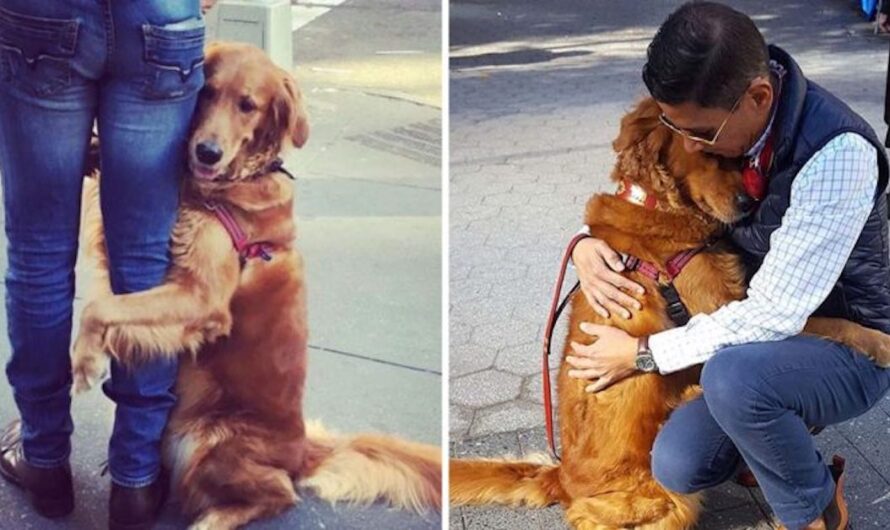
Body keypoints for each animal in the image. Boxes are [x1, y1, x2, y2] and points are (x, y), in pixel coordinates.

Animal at [71, 42, 438, 528]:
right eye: (206, 92)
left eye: (248, 106)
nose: (207, 152)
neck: (234, 182)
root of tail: (302, 453)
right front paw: (92, 148)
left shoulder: (203, 298)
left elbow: (100, 308)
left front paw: (84, 360)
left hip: (205, 440)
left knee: (279, 493)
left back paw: (210, 520)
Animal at [450, 98, 888, 528]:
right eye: (709, 153)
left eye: (735, 157)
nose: (748, 203)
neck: (660, 205)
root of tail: (561, 476)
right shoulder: (721, 306)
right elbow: (825, 321)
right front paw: (880, 341)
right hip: (668, 499)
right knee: (590, 516)